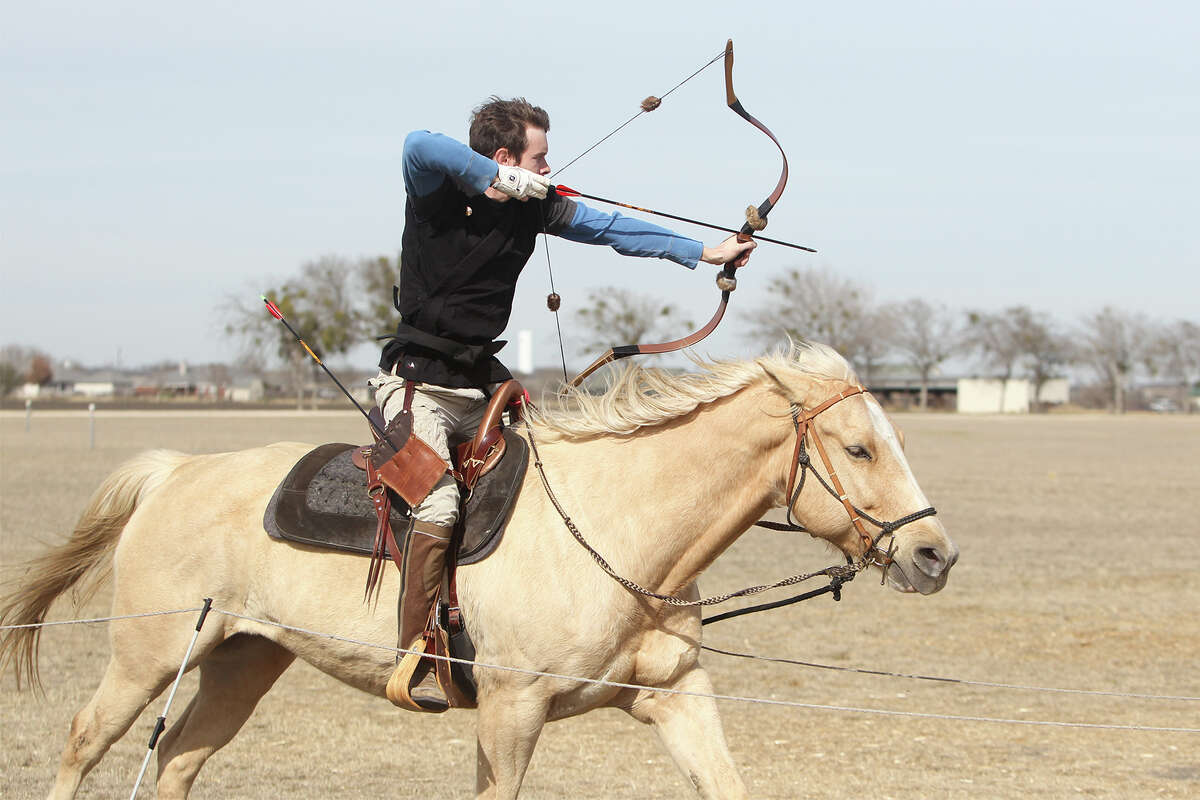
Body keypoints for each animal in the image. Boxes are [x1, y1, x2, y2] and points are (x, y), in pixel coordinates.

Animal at [0, 345, 955, 800]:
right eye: (859, 448)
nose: (934, 554)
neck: (616, 530)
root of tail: (175, 471)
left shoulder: (675, 696)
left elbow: (726, 783)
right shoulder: (511, 712)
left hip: (245, 658)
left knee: (179, 760)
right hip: (151, 654)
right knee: (86, 741)